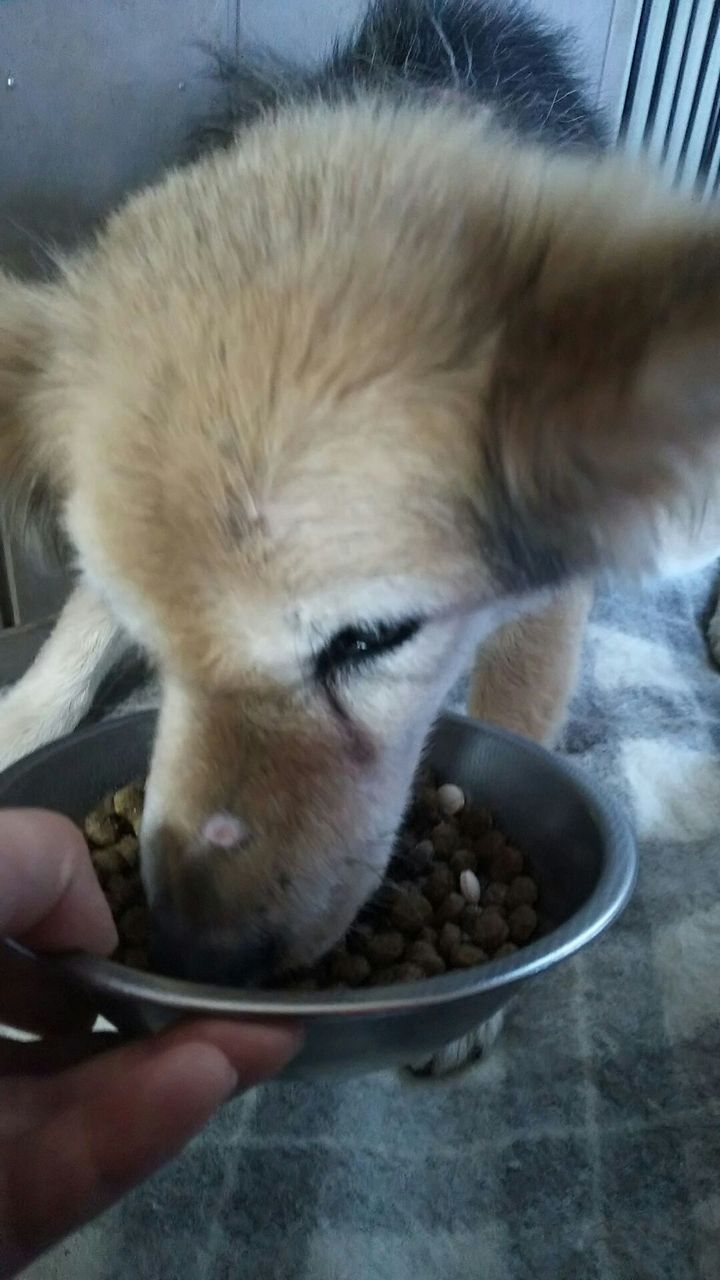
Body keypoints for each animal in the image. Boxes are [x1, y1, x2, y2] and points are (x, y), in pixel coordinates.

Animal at [2, 0, 720, 1074]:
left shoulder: (553, 575)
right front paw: (24, 716)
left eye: (374, 639)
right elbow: (77, 632)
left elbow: (520, 697)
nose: (198, 953)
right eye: (155, 645)